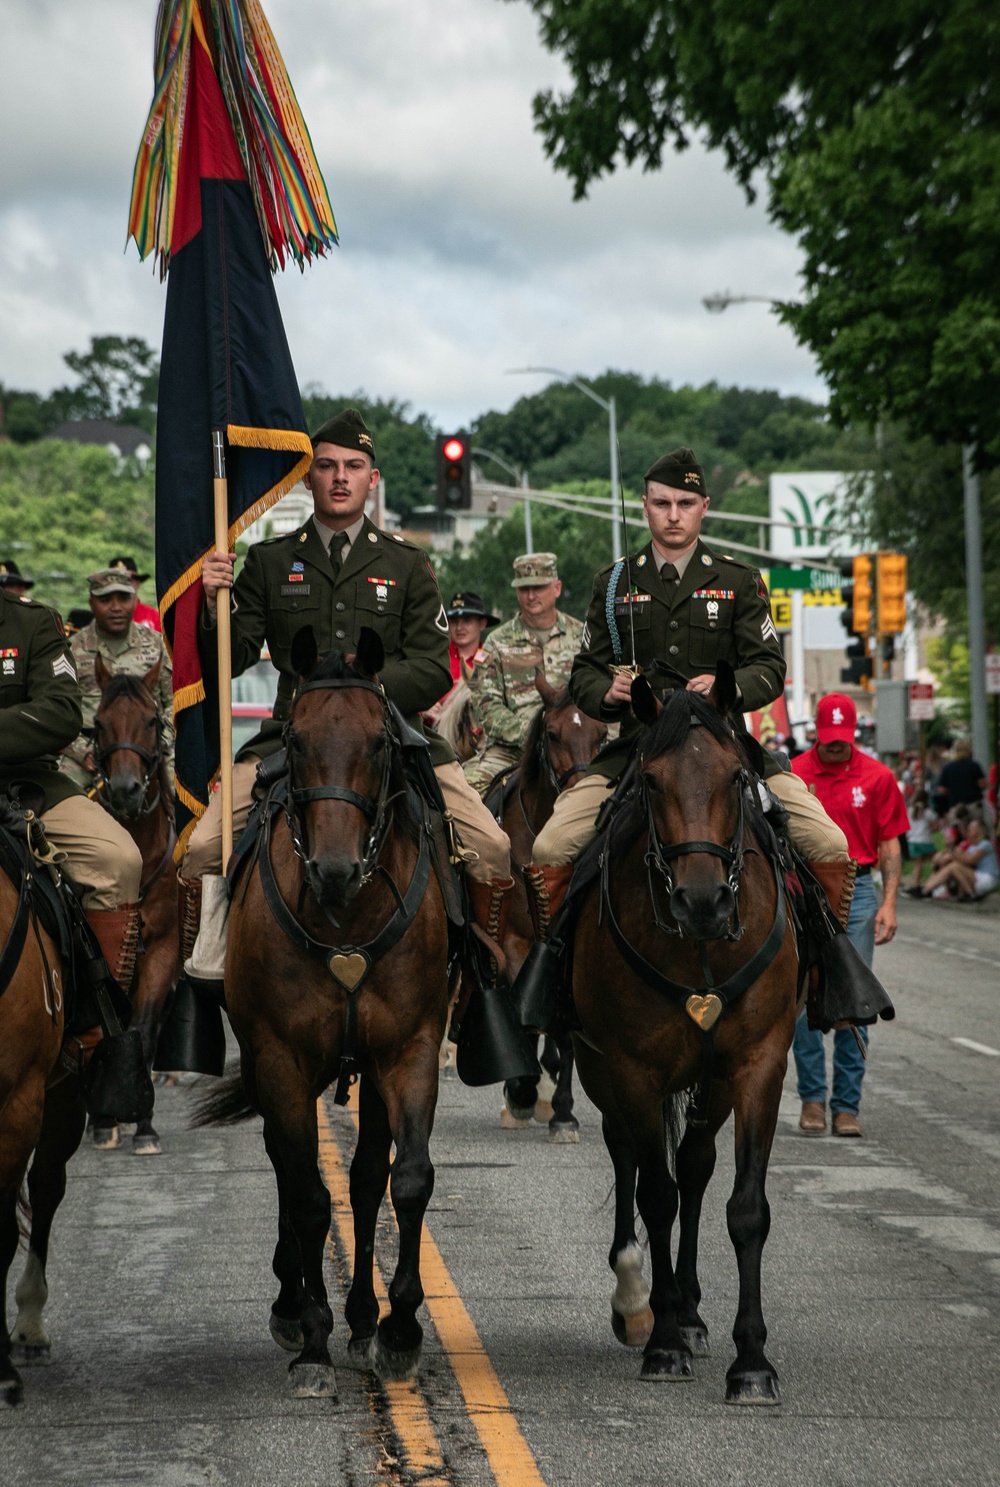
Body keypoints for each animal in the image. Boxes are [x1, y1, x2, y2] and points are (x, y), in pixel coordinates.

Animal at [202, 633, 449, 1397]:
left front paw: (399, 1329)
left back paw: (365, 1319)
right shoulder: (281, 1057)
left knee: (364, 1176)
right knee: (290, 1167)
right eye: (297, 740)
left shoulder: (408, 1049)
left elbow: (407, 1178)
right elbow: (309, 1193)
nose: (334, 870)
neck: (347, 915)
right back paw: (295, 1305)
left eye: (378, 740)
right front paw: (312, 1339)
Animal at [488, 675, 604, 1136]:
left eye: (603, 734)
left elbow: (561, 1029)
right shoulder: (512, 941)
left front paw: (563, 1111)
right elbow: (521, 1017)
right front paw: (522, 1090)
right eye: (552, 734)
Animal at [571, 666, 797, 1403]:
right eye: (650, 780)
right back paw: (640, 1301)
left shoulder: (759, 1065)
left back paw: (693, 1312)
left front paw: (750, 1360)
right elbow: (656, 1194)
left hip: (711, 1081)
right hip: (600, 1069)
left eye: (735, 775)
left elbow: (744, 1206)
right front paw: (663, 1339)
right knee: (629, 1156)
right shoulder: (633, 1068)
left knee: (695, 1165)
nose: (702, 901)